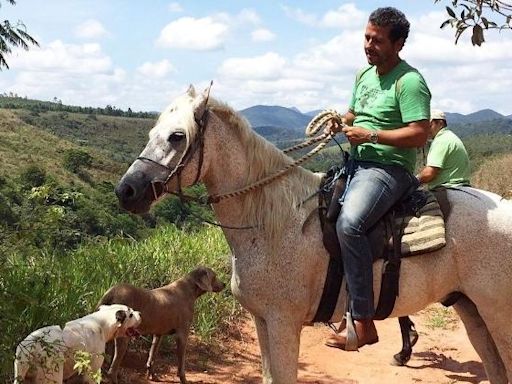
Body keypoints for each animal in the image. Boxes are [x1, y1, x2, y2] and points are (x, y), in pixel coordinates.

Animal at [14, 304, 142, 384]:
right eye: (131, 315)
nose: (140, 313)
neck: (101, 323)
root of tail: (32, 346)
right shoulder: (93, 370)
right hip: (52, 375)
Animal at [116, 86, 512, 384]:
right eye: (151, 134)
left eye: (177, 136)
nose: (126, 191)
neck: (271, 222)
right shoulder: (262, 321)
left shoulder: (283, 322)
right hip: (472, 311)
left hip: (497, 312)